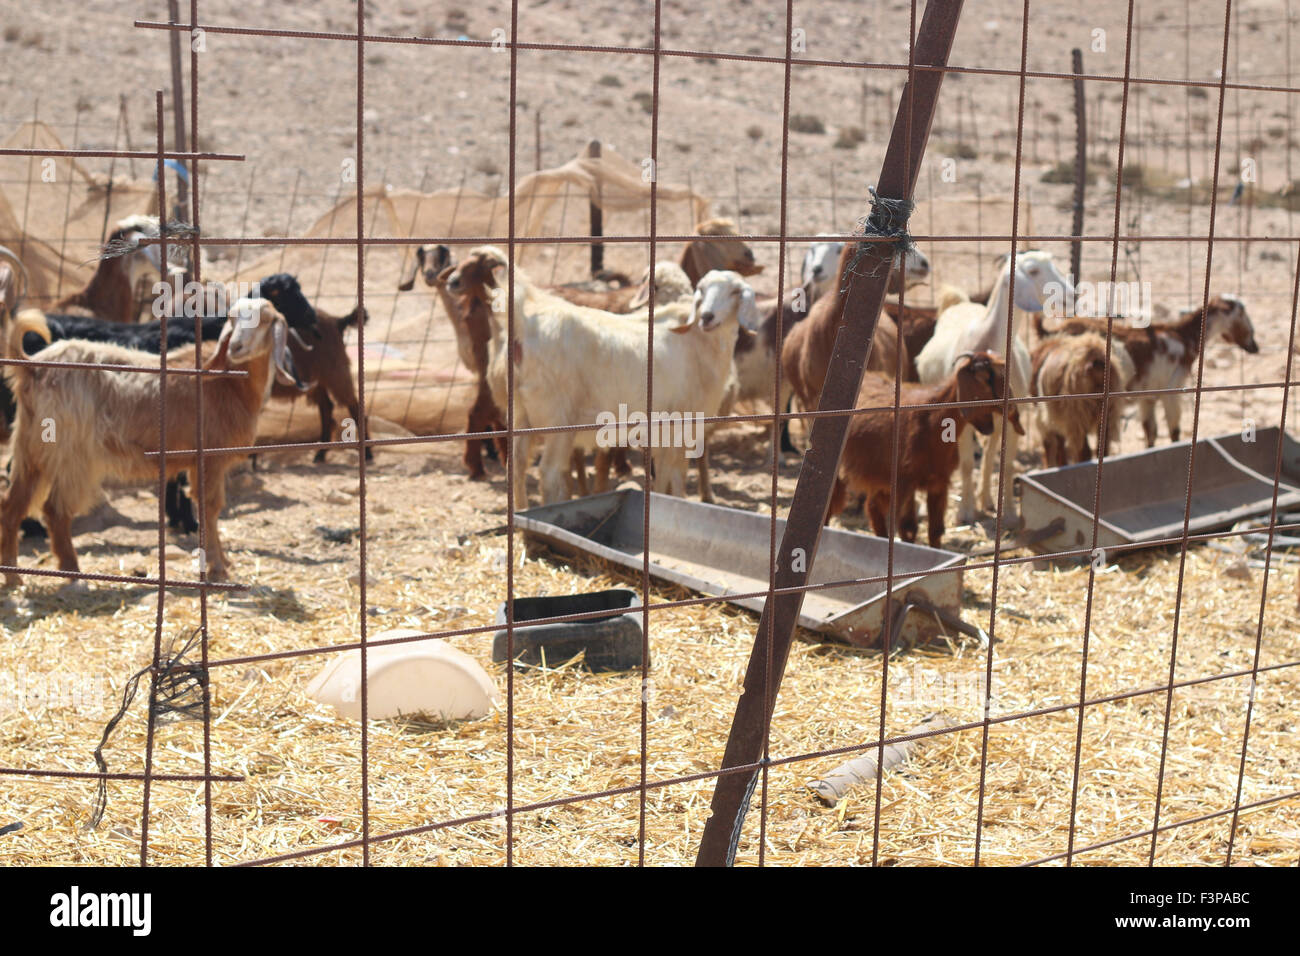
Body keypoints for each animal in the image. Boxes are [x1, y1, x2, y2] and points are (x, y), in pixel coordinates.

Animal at [826, 351, 1019, 548]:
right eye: (985, 378)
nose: (1011, 406)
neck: (931, 422)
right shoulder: (904, 481)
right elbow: (907, 528)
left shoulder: (938, 482)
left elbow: (935, 530)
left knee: (873, 508)